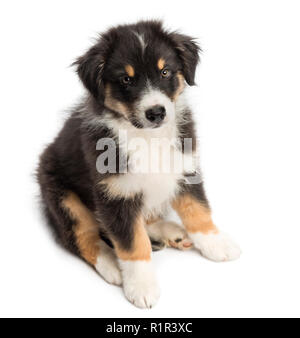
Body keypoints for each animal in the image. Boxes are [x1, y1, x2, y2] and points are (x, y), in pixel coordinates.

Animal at [37, 19, 240, 308]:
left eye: (165, 72)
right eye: (126, 79)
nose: (156, 113)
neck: (146, 136)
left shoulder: (185, 167)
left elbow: (197, 209)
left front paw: (216, 243)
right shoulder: (116, 193)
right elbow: (132, 243)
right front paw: (142, 286)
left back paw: (171, 232)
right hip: (62, 196)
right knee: (82, 237)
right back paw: (112, 265)